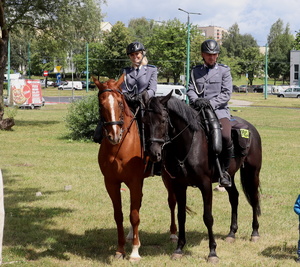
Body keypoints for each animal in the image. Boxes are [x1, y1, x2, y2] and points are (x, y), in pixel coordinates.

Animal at [142, 93, 262, 264]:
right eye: (144, 121)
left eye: (163, 120)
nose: (154, 153)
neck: (188, 145)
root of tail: (251, 128)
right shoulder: (179, 185)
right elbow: (181, 216)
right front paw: (179, 249)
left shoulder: (205, 185)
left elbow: (208, 217)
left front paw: (212, 252)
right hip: (229, 176)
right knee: (234, 197)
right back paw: (232, 233)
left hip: (253, 172)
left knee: (254, 198)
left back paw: (255, 232)